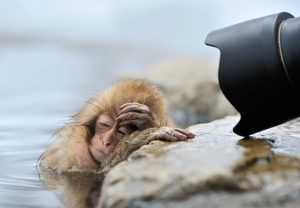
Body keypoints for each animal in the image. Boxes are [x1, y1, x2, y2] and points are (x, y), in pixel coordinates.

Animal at [39, 79, 195, 172]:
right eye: (105, 124)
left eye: (121, 132)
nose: (106, 141)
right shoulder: (61, 158)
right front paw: (138, 138)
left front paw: (147, 122)